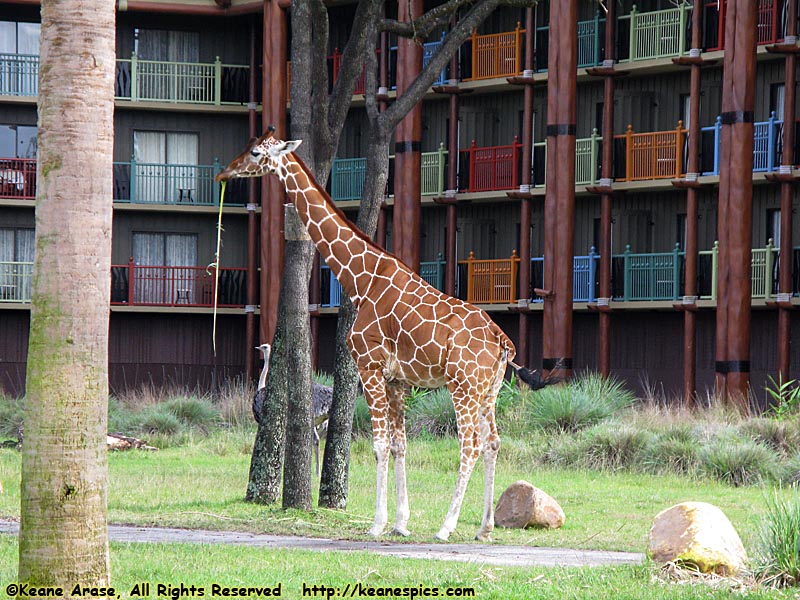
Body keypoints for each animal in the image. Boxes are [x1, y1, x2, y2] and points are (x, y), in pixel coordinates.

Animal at [217, 131, 556, 544]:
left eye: (254, 152)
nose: (224, 172)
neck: (360, 279)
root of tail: (502, 341)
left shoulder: (369, 366)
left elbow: (378, 445)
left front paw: (378, 523)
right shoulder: (397, 380)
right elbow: (399, 445)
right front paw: (400, 522)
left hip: (463, 386)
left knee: (470, 445)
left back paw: (446, 526)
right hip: (489, 390)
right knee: (492, 442)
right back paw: (484, 527)